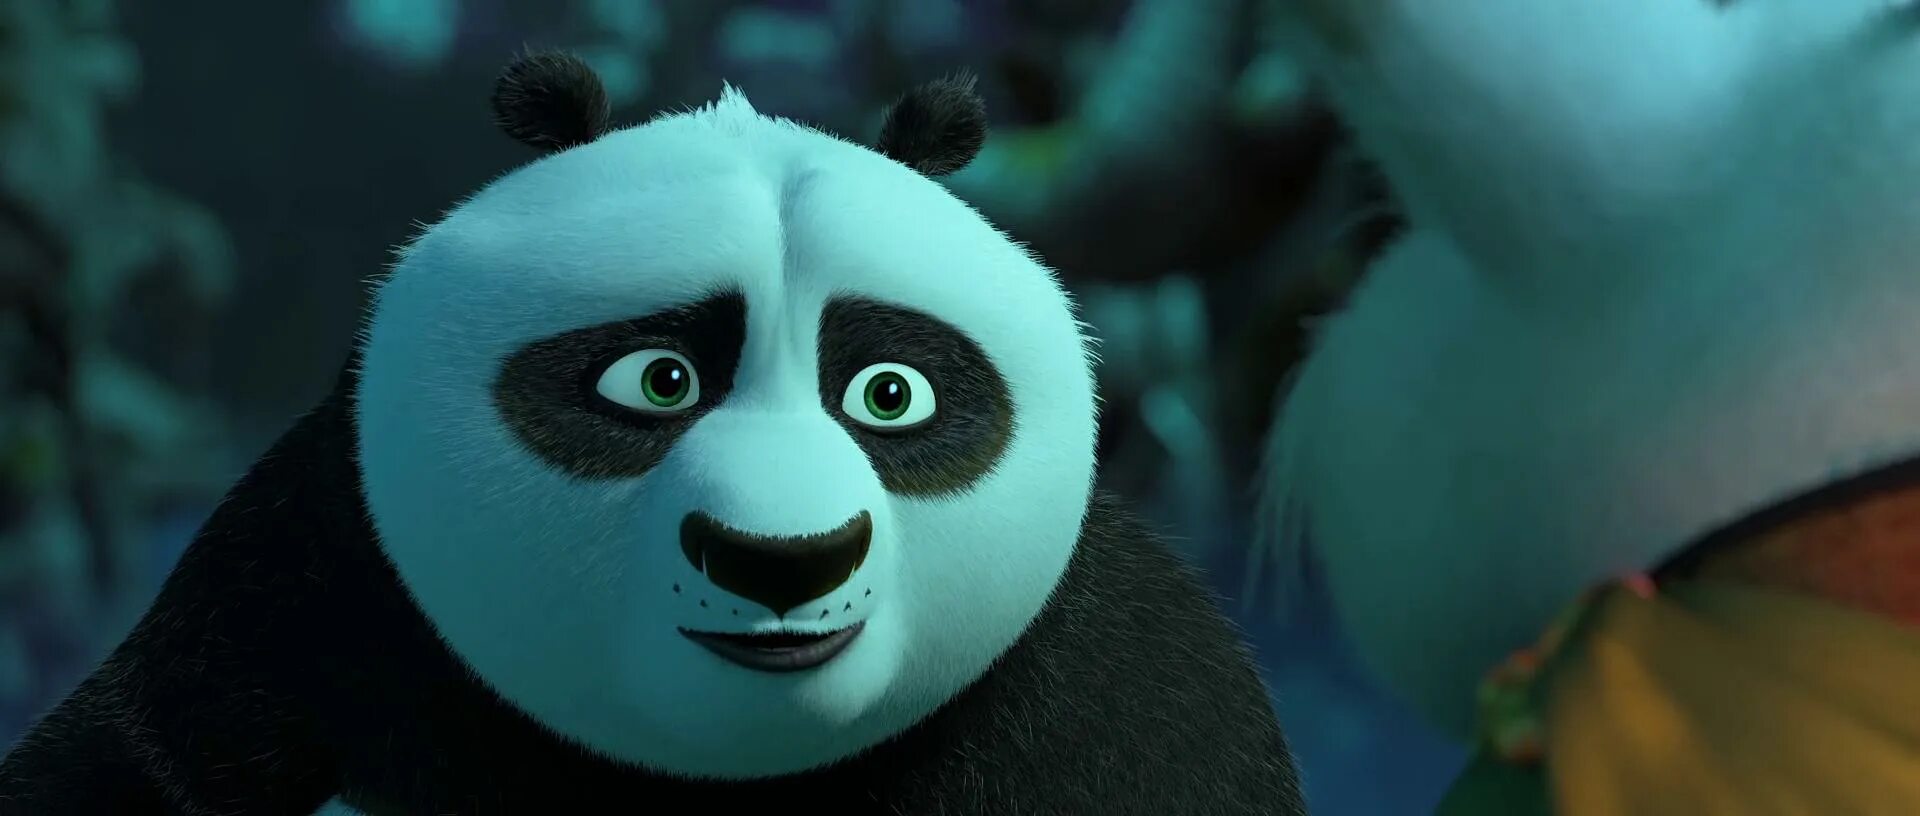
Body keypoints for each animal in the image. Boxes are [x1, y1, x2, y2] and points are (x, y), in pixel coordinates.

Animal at [0, 52, 1305, 816]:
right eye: (657, 382)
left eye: (890, 394)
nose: (784, 563)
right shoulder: (325, 577)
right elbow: (138, 760)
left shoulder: (1113, 675)